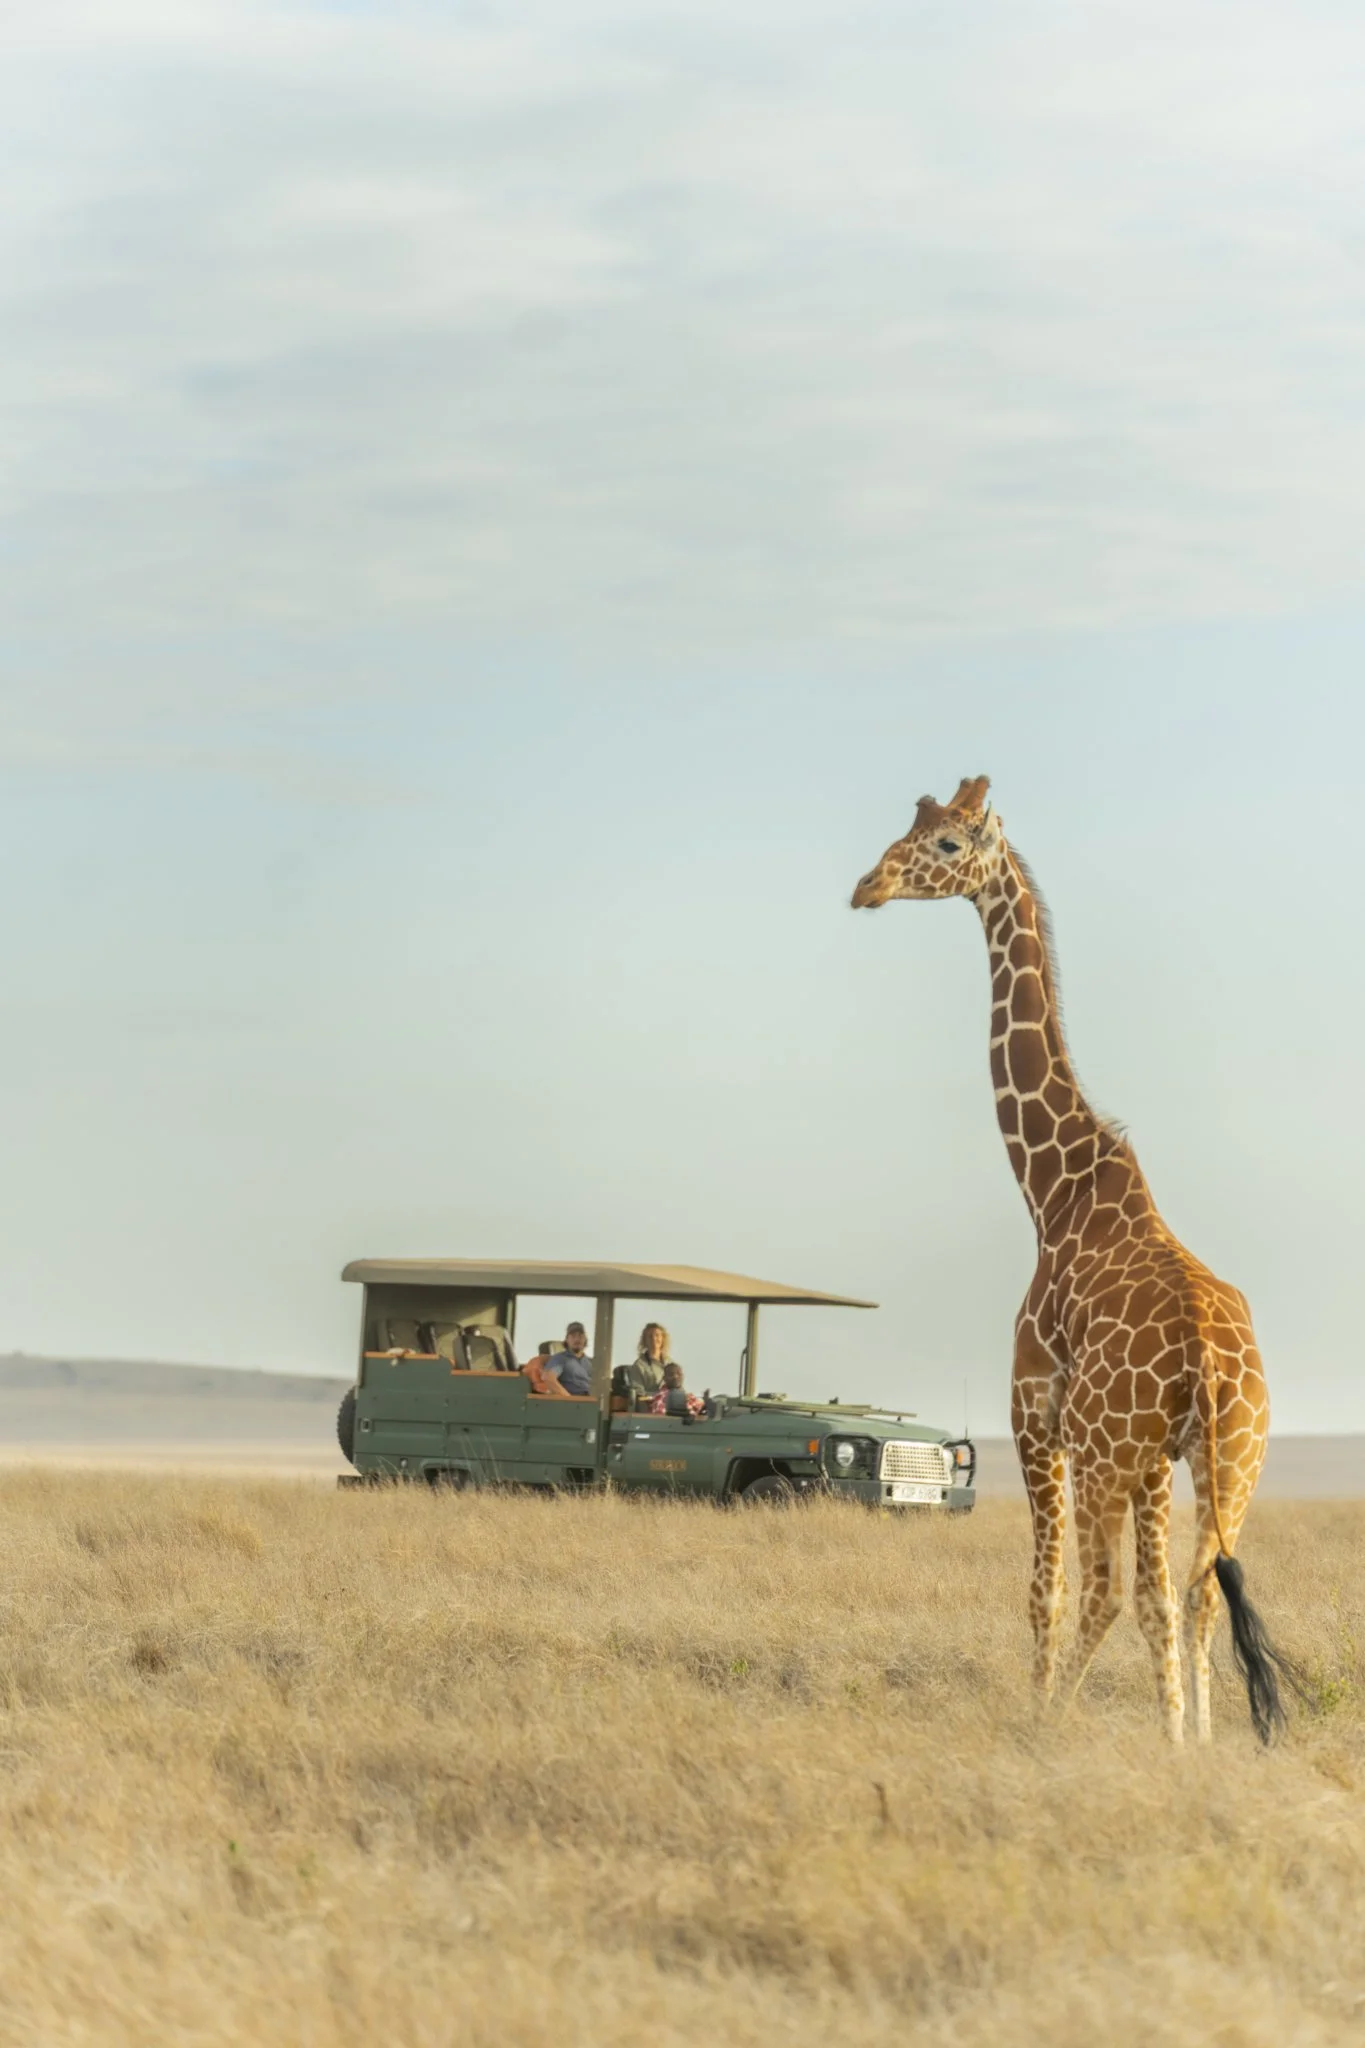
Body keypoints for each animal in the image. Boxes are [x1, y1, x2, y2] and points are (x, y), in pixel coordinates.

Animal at [852, 776, 1293, 1744]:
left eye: (945, 844)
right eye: (909, 826)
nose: (867, 885)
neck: (1053, 1189)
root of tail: (1213, 1360)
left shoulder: (1033, 1412)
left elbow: (1042, 1592)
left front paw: (1045, 1711)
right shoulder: (1156, 1462)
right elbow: (1168, 1601)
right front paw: (1182, 1741)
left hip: (1104, 1454)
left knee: (1106, 1593)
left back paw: (1049, 1725)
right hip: (1232, 1458)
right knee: (1197, 1595)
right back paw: (1195, 1746)